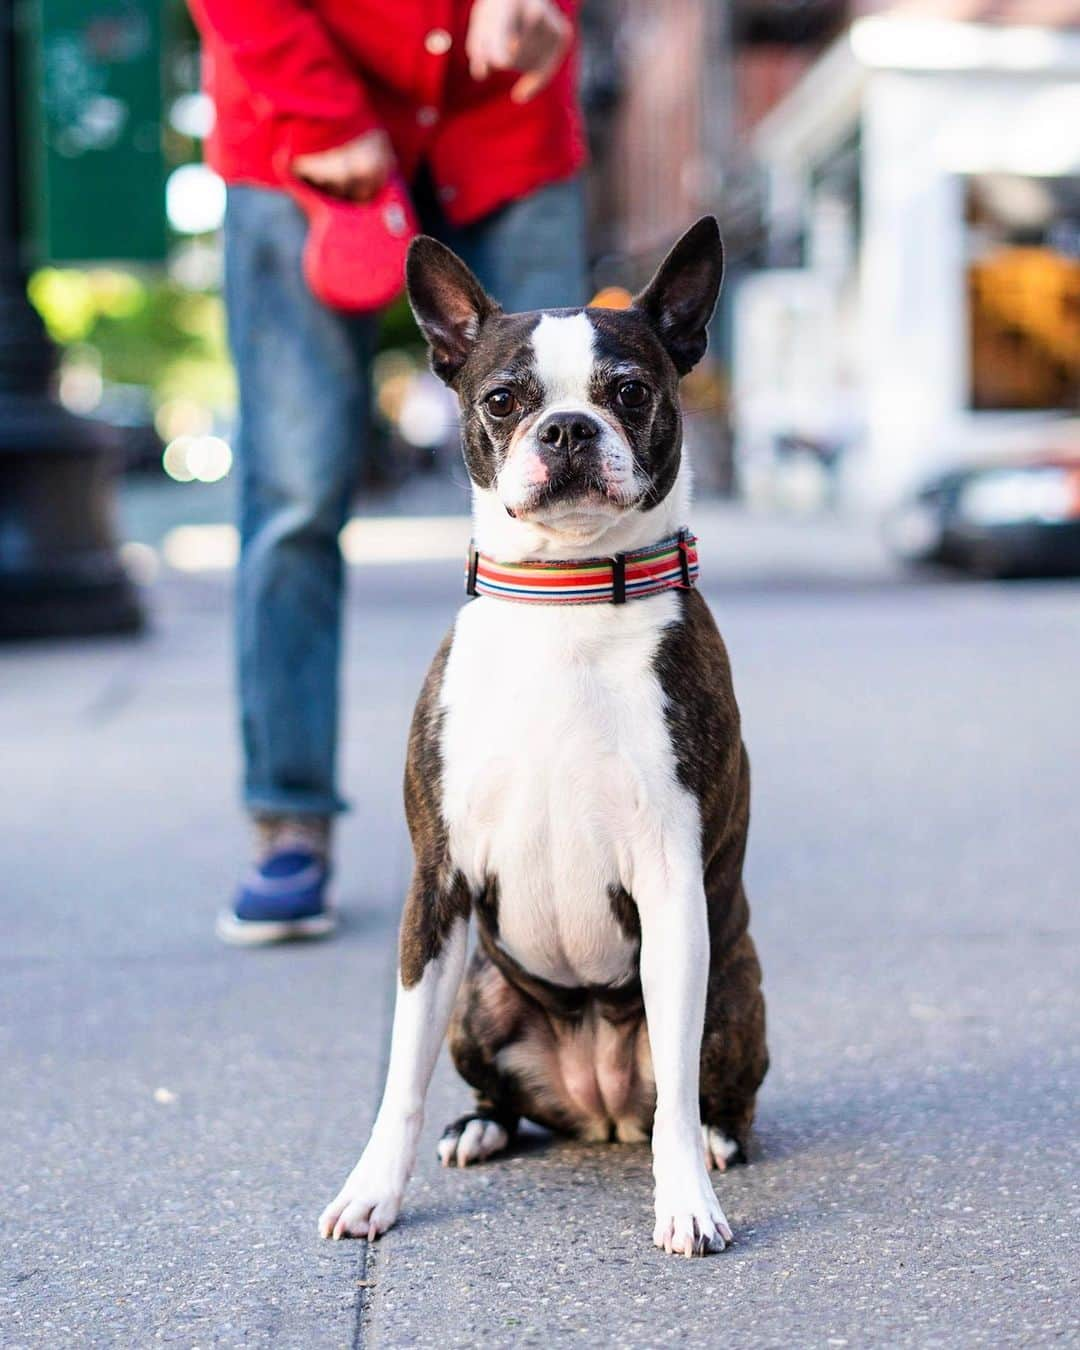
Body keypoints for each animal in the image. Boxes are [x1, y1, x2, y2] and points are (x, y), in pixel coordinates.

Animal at [318, 216, 766, 1258]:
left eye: (630, 392)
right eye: (502, 399)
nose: (566, 428)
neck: (565, 598)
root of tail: (595, 1107)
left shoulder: (672, 884)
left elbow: (677, 1094)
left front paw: (686, 1201)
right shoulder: (437, 884)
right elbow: (398, 1079)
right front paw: (373, 1190)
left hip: (730, 988)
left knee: (698, 1094)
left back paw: (716, 1142)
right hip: (480, 997)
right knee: (499, 1093)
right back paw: (479, 1127)